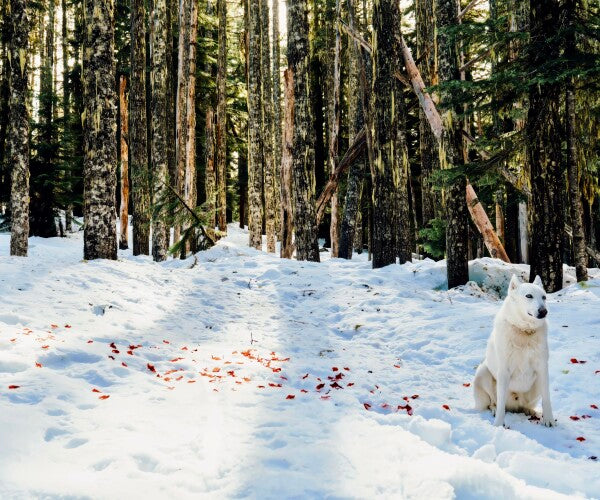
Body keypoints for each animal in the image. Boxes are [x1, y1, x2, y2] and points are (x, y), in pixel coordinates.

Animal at [476, 274, 556, 426]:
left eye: (544, 297)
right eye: (529, 296)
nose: (544, 311)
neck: (524, 331)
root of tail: (514, 406)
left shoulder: (543, 368)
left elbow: (547, 398)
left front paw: (548, 420)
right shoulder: (504, 371)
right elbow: (500, 404)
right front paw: (498, 425)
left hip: (537, 383)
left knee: (525, 406)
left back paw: (531, 411)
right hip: (483, 372)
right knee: (493, 402)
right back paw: (494, 410)